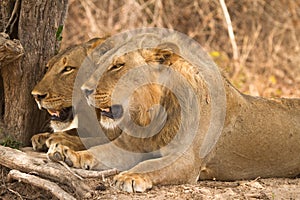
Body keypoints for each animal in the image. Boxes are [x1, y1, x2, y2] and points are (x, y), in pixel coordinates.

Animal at [45, 35, 298, 192]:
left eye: (118, 66)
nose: (85, 90)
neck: (150, 116)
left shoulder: (186, 160)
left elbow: (150, 166)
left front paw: (129, 177)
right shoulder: (129, 146)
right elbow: (98, 152)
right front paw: (68, 154)